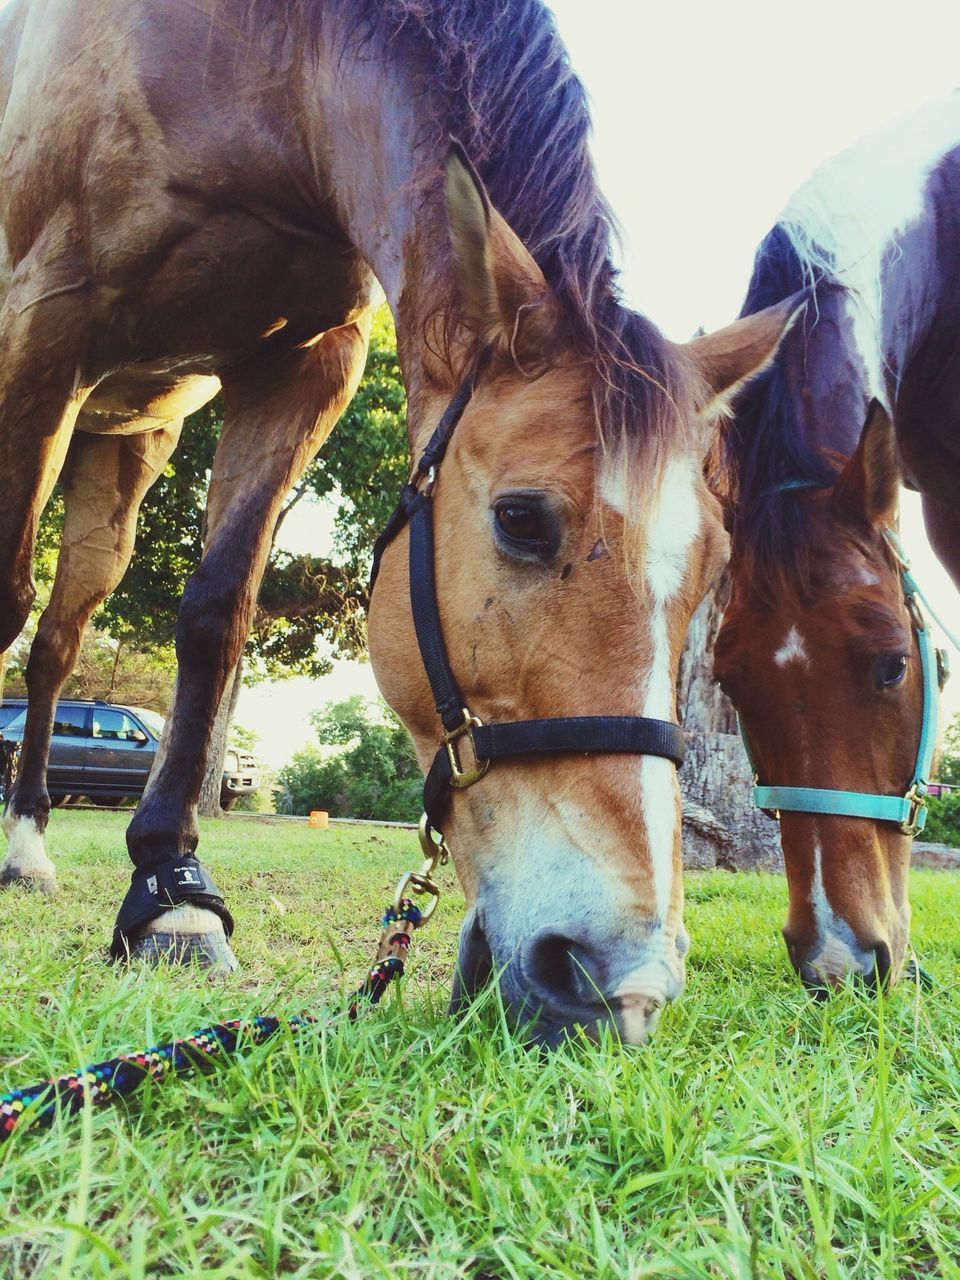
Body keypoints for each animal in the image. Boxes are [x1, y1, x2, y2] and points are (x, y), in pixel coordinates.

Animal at [0, 0, 793, 1039]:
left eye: (709, 569)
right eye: (522, 520)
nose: (628, 983)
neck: (251, 69)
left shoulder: (308, 367)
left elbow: (216, 613)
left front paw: (170, 895)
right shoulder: (41, 324)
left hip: (128, 444)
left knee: (58, 641)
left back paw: (25, 844)